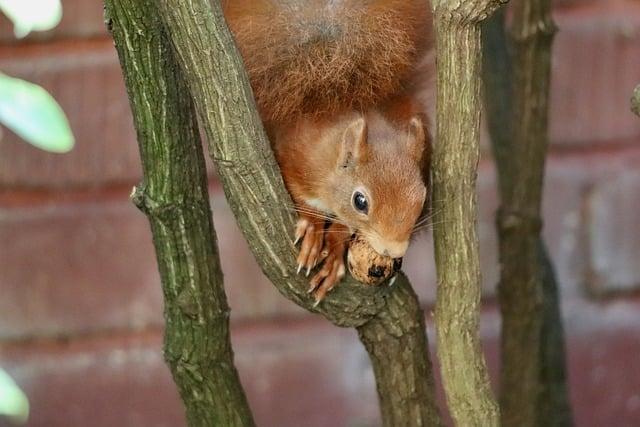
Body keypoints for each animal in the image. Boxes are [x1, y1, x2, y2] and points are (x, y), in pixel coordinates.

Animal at [222, 0, 432, 302]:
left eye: (422, 196)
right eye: (360, 201)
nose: (393, 250)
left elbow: (343, 228)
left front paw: (334, 249)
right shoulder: (296, 157)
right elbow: (300, 195)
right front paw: (312, 227)